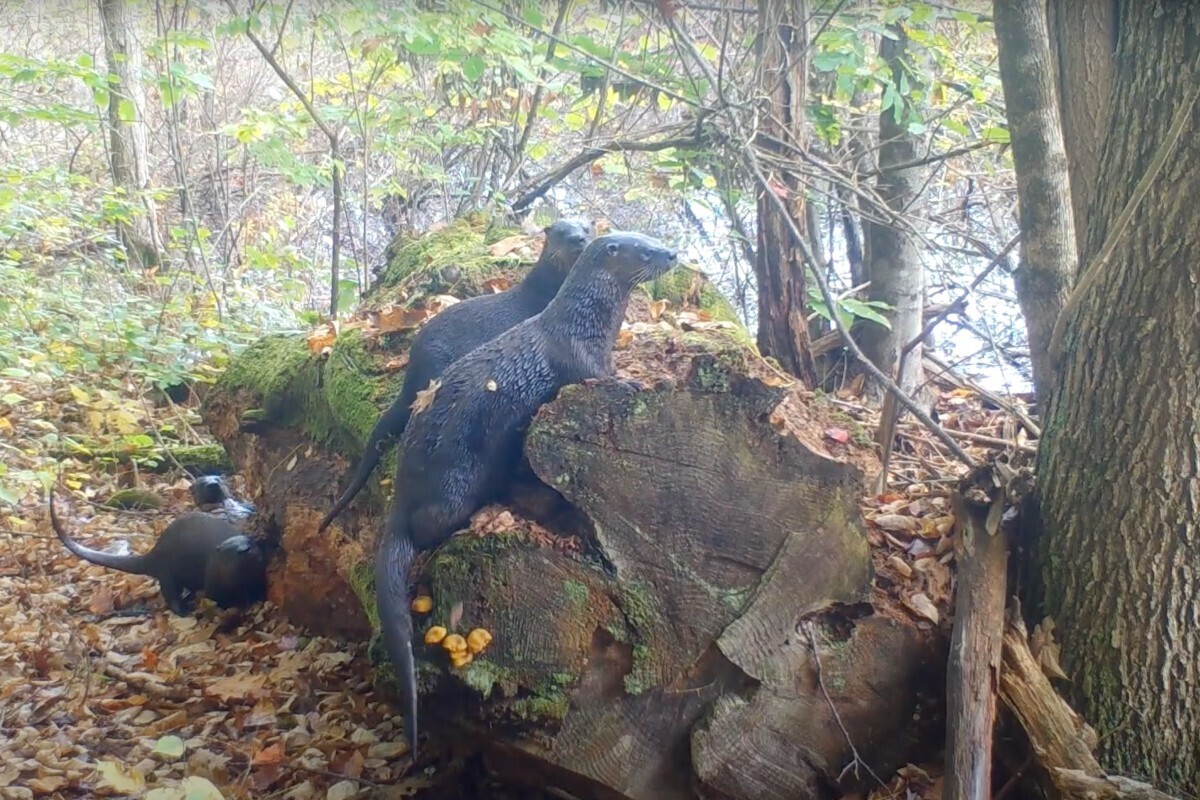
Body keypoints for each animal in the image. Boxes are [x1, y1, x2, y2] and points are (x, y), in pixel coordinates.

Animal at [49, 489, 267, 615]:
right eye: (231, 551)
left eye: (250, 542)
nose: (244, 549)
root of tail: (154, 551)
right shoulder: (213, 583)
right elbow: (219, 601)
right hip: (166, 572)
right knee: (170, 595)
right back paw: (184, 610)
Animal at [373, 231, 678, 753]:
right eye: (644, 250)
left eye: (653, 239)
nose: (673, 253)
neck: (585, 324)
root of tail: (400, 495)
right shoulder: (581, 359)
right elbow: (600, 377)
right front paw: (637, 381)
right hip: (454, 484)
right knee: (429, 529)